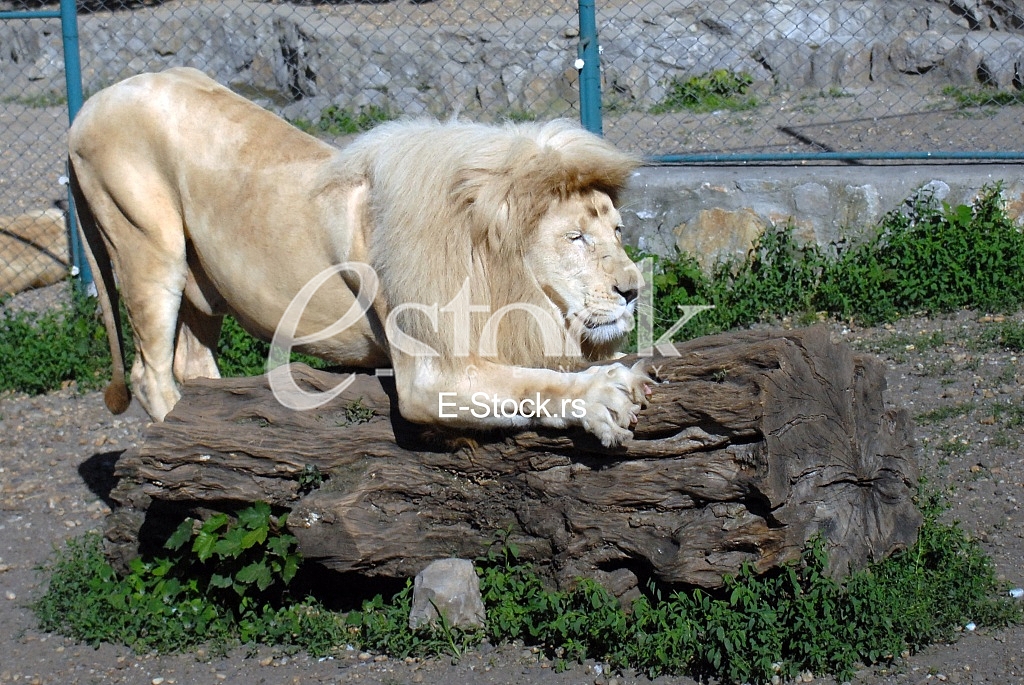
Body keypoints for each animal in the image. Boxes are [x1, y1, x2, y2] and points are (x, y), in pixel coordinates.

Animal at [68, 67, 651, 447]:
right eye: (574, 238)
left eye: (618, 232)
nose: (633, 292)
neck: (498, 265)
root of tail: (91, 104)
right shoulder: (427, 376)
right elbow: (528, 382)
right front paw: (603, 393)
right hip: (146, 244)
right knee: (151, 374)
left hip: (200, 283)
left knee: (192, 364)